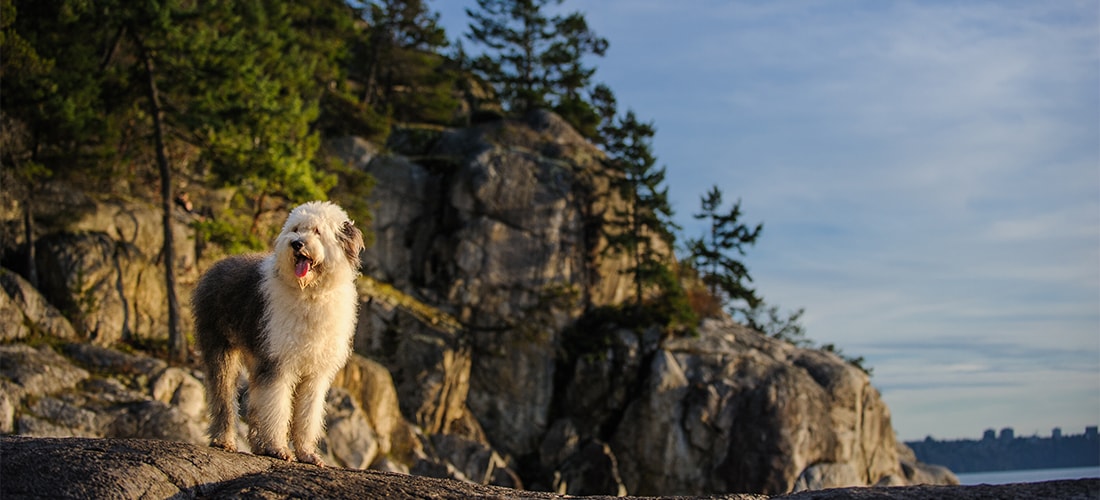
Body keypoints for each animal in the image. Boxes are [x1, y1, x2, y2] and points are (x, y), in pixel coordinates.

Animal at [193, 200, 365, 465]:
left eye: (317, 231)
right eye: (295, 228)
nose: (296, 243)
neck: (311, 294)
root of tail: (218, 264)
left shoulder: (314, 374)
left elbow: (307, 415)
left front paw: (307, 453)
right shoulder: (279, 362)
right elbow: (276, 408)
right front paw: (278, 448)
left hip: (255, 354)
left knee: (254, 403)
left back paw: (257, 445)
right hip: (220, 346)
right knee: (223, 395)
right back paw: (225, 440)